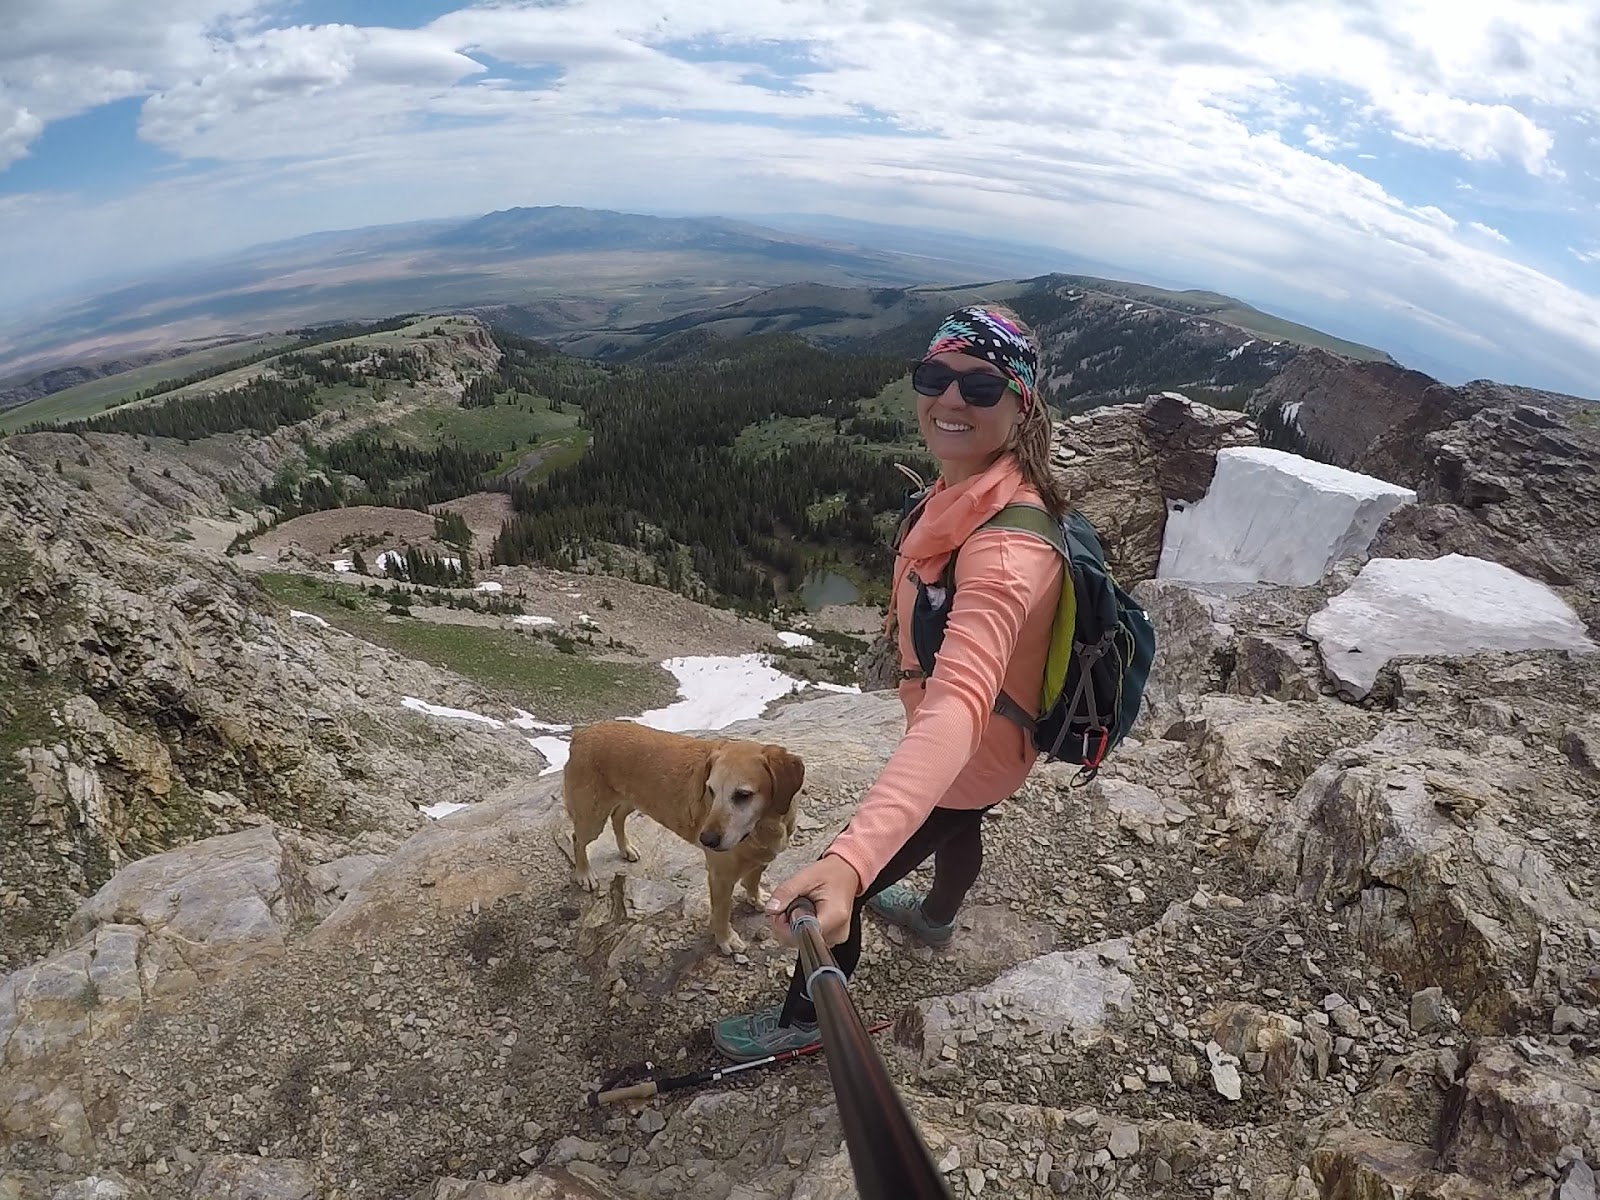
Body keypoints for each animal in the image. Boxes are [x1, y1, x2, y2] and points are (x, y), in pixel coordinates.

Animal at [566, 723, 812, 960]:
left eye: (743, 795)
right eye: (710, 790)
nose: (706, 839)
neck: (765, 826)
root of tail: (583, 733)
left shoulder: (762, 857)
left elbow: (753, 879)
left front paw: (757, 897)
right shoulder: (720, 877)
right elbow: (722, 913)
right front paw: (725, 938)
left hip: (632, 800)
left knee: (617, 817)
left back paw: (626, 848)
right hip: (592, 817)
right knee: (577, 839)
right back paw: (585, 874)